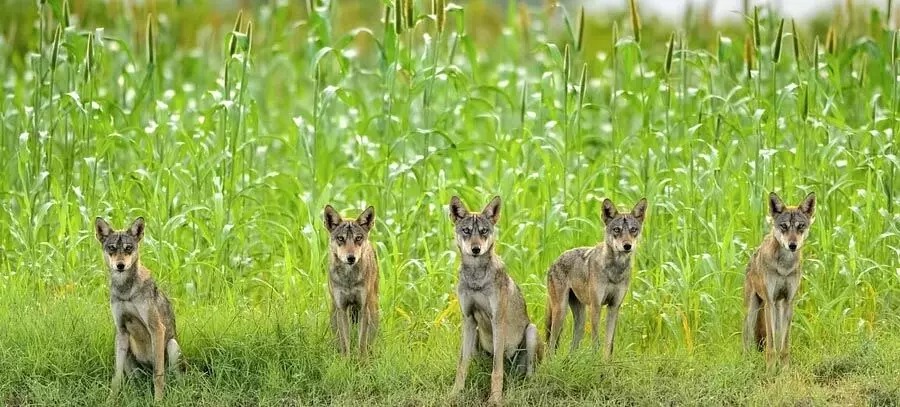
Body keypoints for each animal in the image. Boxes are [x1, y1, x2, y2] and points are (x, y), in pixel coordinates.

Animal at [95, 217, 183, 402]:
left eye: (128, 248)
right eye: (111, 248)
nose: (120, 265)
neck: (126, 291)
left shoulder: (157, 329)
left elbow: (158, 374)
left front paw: (158, 401)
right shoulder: (121, 330)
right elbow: (116, 377)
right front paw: (110, 400)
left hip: (172, 346)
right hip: (127, 348)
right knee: (135, 382)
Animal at [326, 206, 378, 356]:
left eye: (358, 238)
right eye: (341, 238)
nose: (351, 258)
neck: (349, 279)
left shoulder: (363, 308)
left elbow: (361, 343)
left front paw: (362, 361)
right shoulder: (342, 309)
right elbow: (345, 344)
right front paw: (345, 361)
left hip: (373, 307)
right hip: (334, 311)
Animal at [448, 196, 536, 406]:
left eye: (483, 231)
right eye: (466, 231)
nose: (476, 249)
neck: (476, 277)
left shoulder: (497, 320)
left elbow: (497, 370)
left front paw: (495, 399)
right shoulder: (468, 319)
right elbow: (461, 365)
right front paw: (455, 394)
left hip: (532, 331)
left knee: (527, 374)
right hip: (476, 337)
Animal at [540, 198, 648, 360]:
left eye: (633, 229)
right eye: (617, 230)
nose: (627, 246)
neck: (615, 270)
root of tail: (555, 261)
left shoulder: (614, 307)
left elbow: (609, 344)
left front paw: (606, 364)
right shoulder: (596, 306)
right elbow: (596, 341)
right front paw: (595, 362)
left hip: (580, 319)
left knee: (572, 347)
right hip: (561, 312)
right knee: (551, 344)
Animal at [744, 193, 816, 372]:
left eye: (800, 226)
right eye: (783, 226)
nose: (792, 245)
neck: (785, 266)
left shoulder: (789, 302)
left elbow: (784, 346)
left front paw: (784, 371)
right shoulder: (770, 303)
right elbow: (770, 347)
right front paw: (770, 371)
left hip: (778, 309)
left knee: (778, 340)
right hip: (753, 312)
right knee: (747, 343)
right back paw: (747, 365)